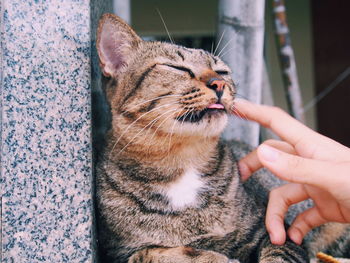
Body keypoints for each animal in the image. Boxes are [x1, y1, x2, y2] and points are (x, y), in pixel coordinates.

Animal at [94, 13, 348, 263]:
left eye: (222, 71)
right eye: (176, 67)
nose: (219, 83)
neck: (182, 161)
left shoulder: (278, 232)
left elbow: (277, 256)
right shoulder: (118, 252)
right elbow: (154, 252)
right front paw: (210, 256)